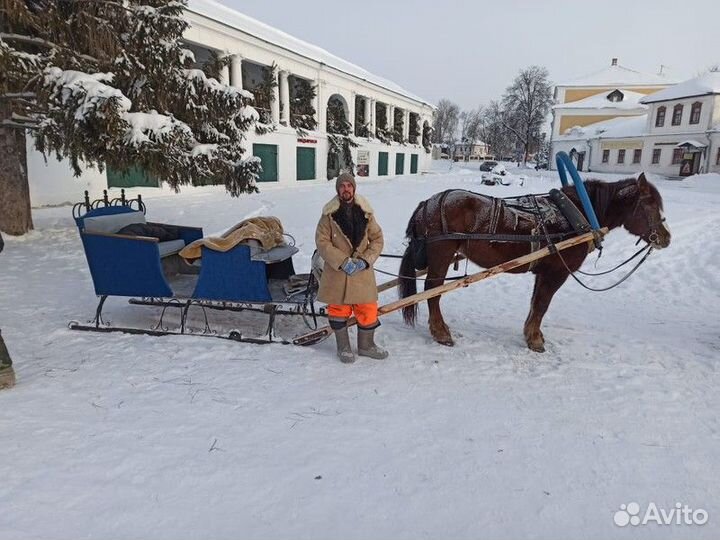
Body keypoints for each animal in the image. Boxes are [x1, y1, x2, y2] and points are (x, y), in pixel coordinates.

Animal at [396, 172, 672, 350]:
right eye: (649, 205)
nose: (666, 237)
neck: (577, 214)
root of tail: (427, 204)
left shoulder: (543, 272)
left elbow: (535, 304)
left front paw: (531, 333)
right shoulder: (557, 272)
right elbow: (542, 305)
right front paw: (535, 340)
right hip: (441, 255)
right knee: (433, 291)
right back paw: (440, 332)